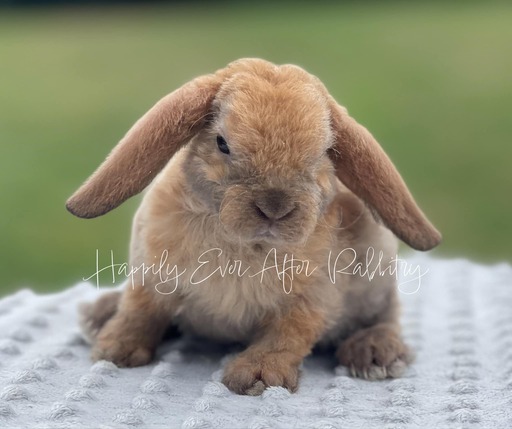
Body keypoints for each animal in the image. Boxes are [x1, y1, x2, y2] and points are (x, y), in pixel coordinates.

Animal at [68, 57, 442, 394]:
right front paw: (114, 350)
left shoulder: (311, 301)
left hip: (379, 277)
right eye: (222, 143)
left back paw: (375, 354)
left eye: (324, 153)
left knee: (387, 317)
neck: (244, 244)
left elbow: (287, 336)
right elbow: (140, 310)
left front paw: (257, 376)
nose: (275, 208)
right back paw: (98, 315)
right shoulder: (150, 275)